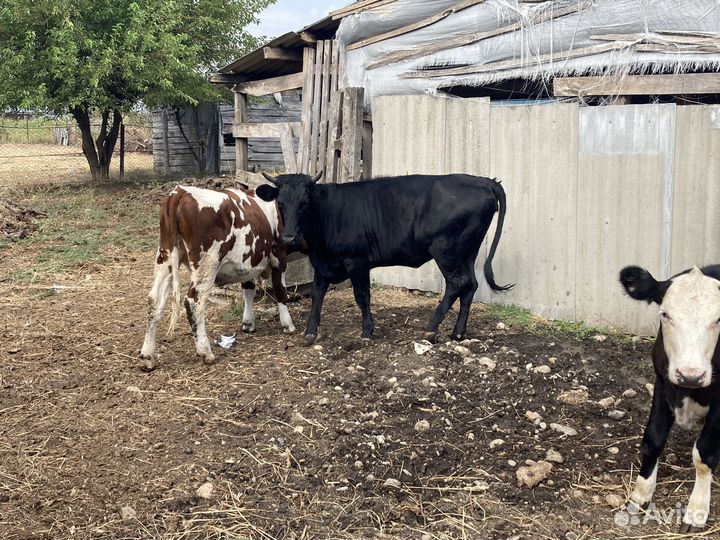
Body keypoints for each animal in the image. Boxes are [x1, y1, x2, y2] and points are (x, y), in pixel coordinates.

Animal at [139, 185, 295, 371]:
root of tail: (180, 192)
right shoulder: (279, 254)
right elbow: (280, 289)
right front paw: (288, 324)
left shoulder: (247, 263)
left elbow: (248, 290)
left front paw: (248, 323)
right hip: (207, 263)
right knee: (193, 302)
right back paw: (205, 351)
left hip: (166, 258)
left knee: (154, 300)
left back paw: (147, 356)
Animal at [256, 172, 512, 345]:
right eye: (280, 203)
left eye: (305, 203)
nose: (289, 238)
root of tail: (482, 180)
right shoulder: (322, 264)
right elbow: (317, 295)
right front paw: (310, 332)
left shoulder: (357, 261)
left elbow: (362, 297)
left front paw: (367, 331)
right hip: (468, 251)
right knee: (470, 285)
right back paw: (458, 332)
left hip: (447, 250)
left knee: (457, 283)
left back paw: (431, 328)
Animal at [620, 265, 720, 532]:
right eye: (665, 314)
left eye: (719, 319)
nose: (691, 375)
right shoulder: (662, 383)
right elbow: (653, 439)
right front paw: (641, 494)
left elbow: (704, 454)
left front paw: (697, 510)